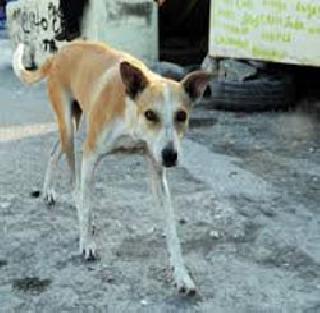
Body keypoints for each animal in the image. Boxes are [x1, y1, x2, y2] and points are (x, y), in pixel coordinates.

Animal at [12, 40, 212, 294]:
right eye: (150, 114)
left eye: (181, 116)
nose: (170, 156)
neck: (132, 120)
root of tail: (61, 52)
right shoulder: (90, 156)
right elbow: (87, 206)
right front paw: (86, 242)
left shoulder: (157, 172)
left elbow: (172, 230)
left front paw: (182, 275)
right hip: (68, 126)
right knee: (74, 183)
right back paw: (77, 211)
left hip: (72, 124)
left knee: (53, 151)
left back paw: (48, 190)